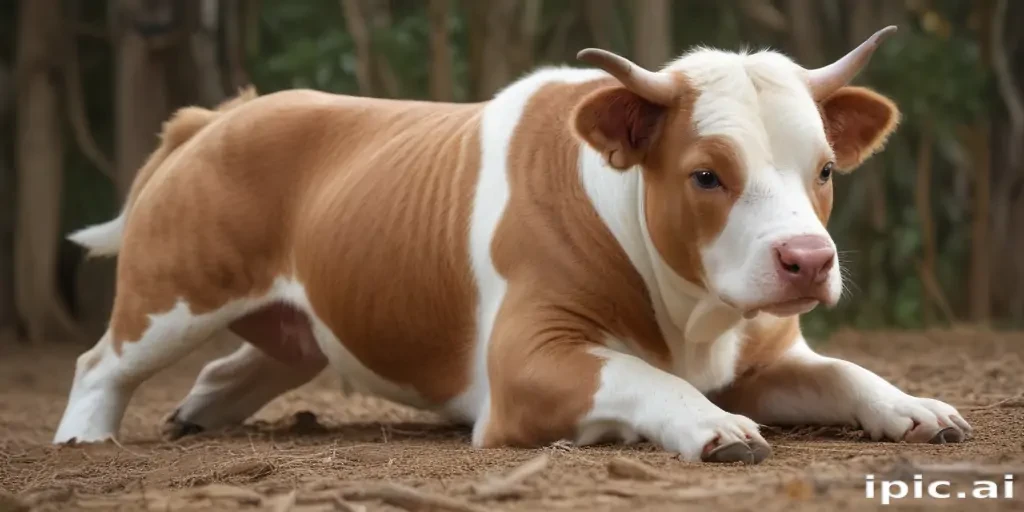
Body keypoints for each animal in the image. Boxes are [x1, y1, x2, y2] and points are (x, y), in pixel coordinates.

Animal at [54, 25, 970, 464]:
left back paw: (202, 410)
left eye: (825, 169)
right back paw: (85, 437)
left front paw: (914, 405)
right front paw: (712, 424)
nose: (807, 261)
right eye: (708, 174)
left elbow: (846, 372)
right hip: (174, 292)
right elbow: (641, 376)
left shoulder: (767, 357)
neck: (692, 313)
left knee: (260, 355)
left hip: (297, 320)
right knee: (101, 363)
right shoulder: (529, 362)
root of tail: (226, 113)